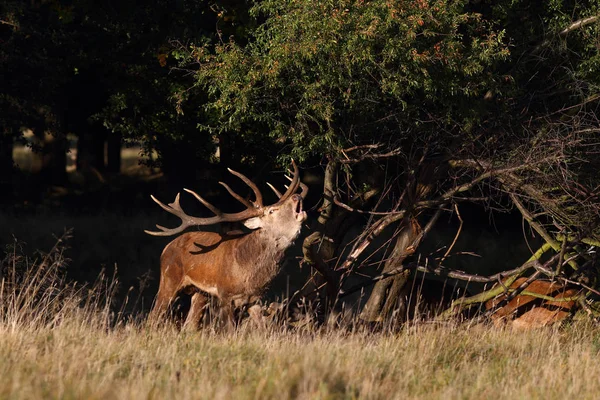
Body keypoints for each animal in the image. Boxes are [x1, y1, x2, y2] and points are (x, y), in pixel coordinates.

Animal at [144, 161, 308, 330]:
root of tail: (166, 247)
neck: (248, 273)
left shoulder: (255, 298)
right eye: (271, 211)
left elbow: (263, 328)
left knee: (190, 324)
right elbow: (228, 330)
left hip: (200, 292)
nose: (296, 196)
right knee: (153, 316)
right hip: (169, 278)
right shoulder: (225, 295)